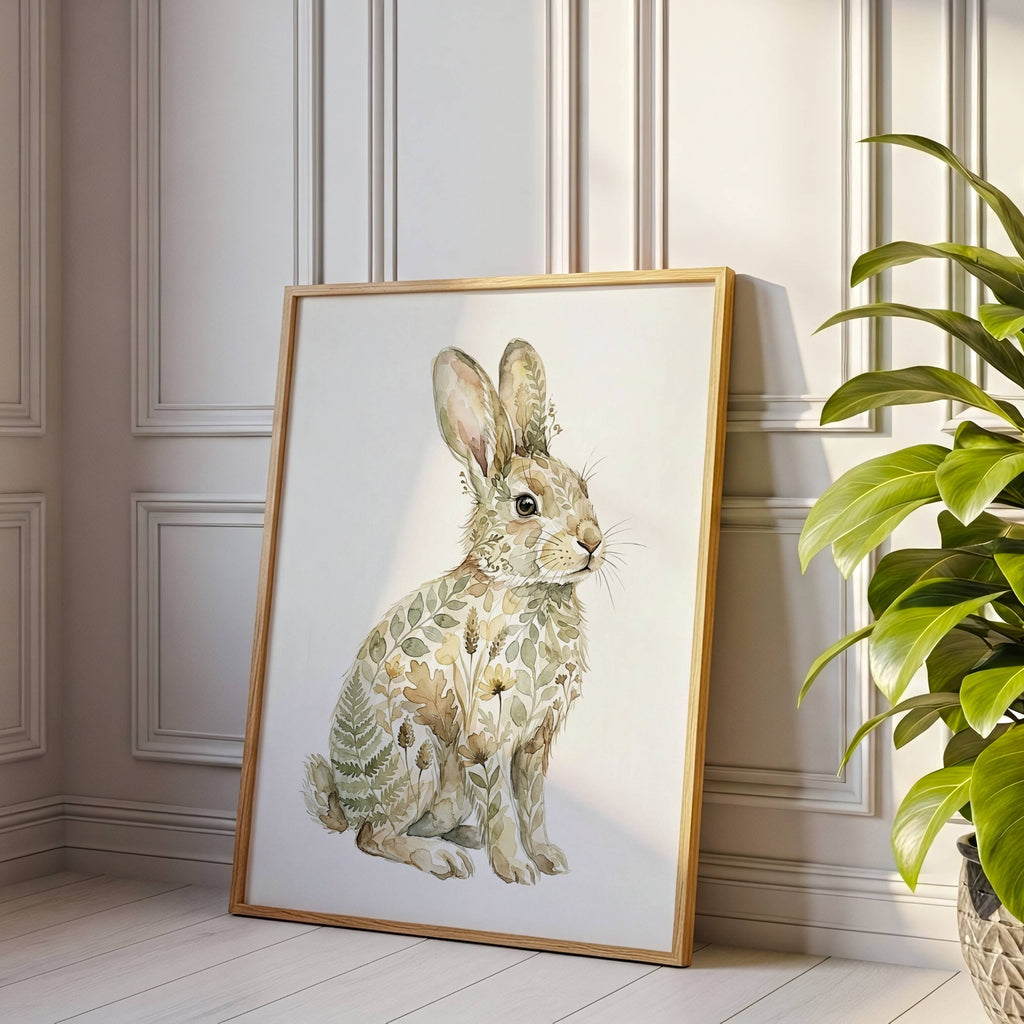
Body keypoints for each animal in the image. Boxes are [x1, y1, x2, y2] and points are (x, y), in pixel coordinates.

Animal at [304, 339, 605, 884]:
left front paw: (548, 859)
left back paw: (465, 840)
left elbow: (533, 806)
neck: (527, 586)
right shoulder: (486, 737)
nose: (592, 542)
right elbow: (505, 808)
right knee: (372, 836)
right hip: (419, 764)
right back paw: (444, 860)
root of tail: (347, 802)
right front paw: (516, 870)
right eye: (525, 505)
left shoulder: (534, 745)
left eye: (583, 488)